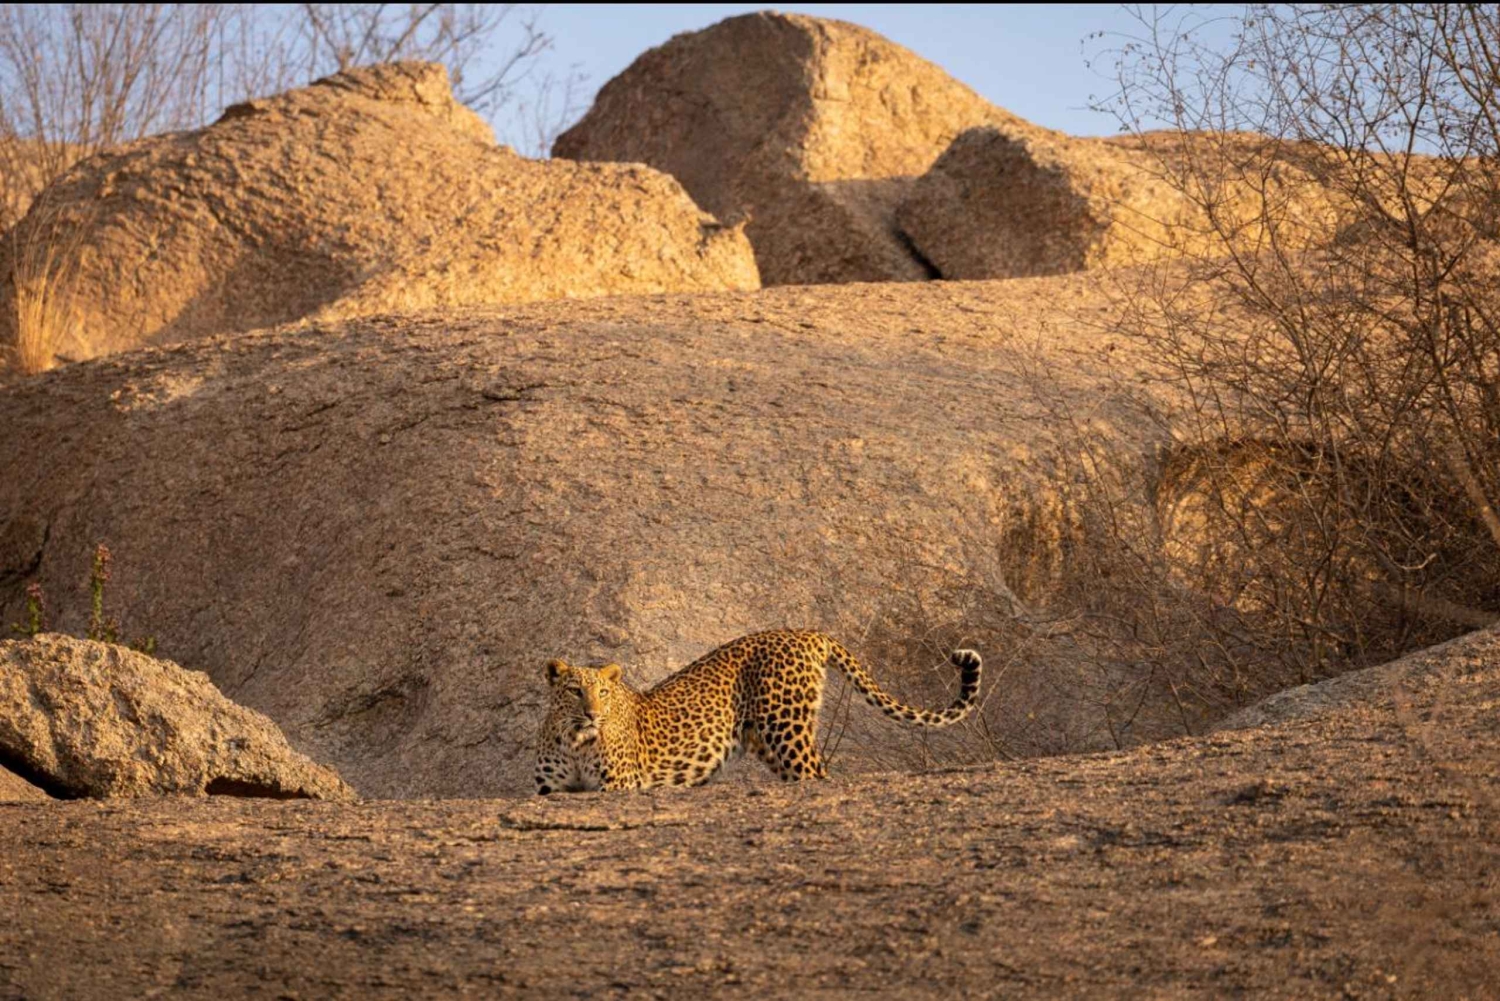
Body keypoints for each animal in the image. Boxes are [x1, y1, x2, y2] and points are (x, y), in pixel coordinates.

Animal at [534, 629, 982, 794]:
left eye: (603, 692)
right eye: (574, 691)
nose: (593, 714)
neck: (576, 740)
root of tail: (808, 632)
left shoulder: (617, 786)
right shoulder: (550, 790)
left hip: (787, 729)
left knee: (817, 773)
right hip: (769, 742)